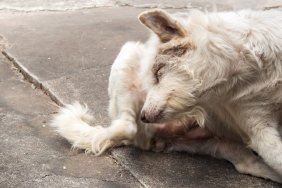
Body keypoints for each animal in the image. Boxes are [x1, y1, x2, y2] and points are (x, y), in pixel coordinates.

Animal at [51, 8, 282, 182]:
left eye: (157, 73)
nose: (144, 116)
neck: (252, 72)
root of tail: (146, 138)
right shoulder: (258, 128)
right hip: (128, 54)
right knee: (125, 126)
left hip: (216, 144)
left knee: (246, 163)